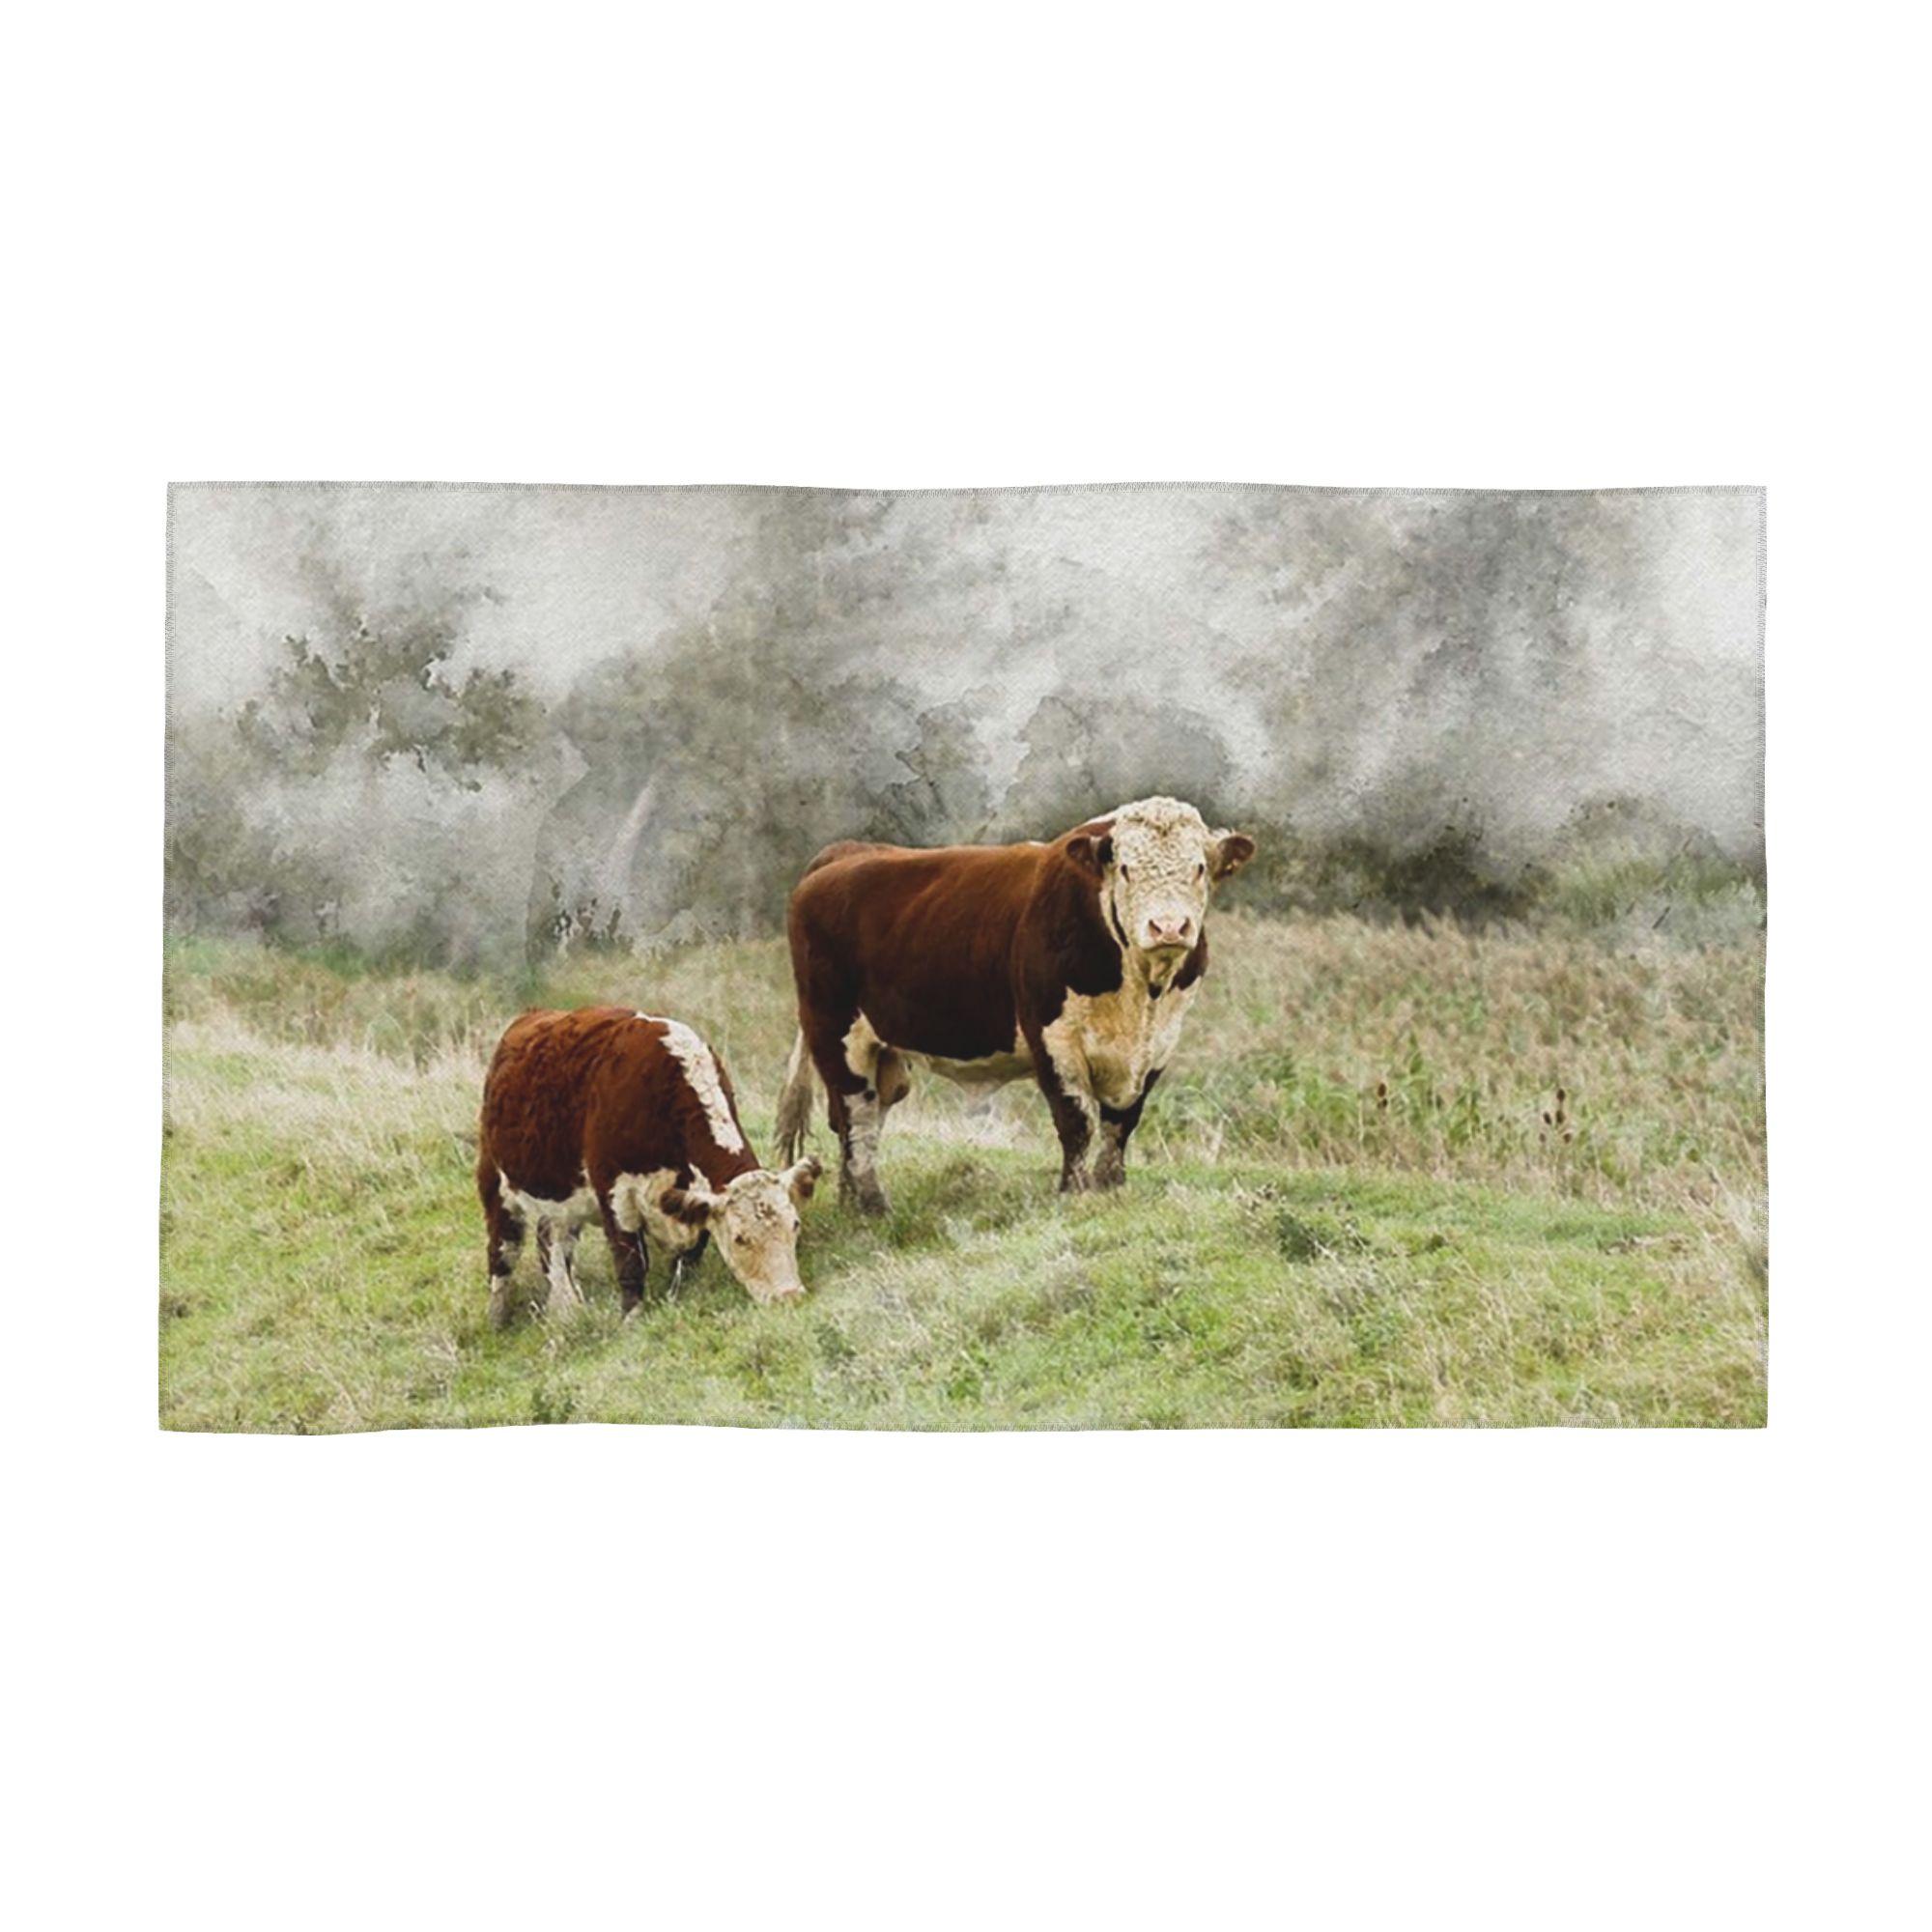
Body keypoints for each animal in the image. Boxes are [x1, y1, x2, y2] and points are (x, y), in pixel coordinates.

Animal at [478, 1006, 821, 1327]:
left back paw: (566, 1309)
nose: (788, 1297)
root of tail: (530, 1017)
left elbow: (690, 1254)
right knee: (502, 1251)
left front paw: (677, 1294)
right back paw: (497, 1320)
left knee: (552, 1239)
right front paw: (632, 1319)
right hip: (495, 1182)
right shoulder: (613, 1190)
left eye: (795, 1224)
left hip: (565, 1195)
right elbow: (630, 1261)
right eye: (740, 1238)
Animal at [774, 795, 1254, 1211]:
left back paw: (851, 1202)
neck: (1139, 997)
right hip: (834, 1030)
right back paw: (874, 1206)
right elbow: (1077, 1120)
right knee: (856, 1114)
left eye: (1199, 868)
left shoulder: (1158, 1044)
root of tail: (844, 852)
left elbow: (1121, 1122)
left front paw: (1111, 1188)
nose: (1169, 927)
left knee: (860, 1115)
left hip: (880, 1048)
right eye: (1126, 869)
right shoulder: (1053, 1038)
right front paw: (1074, 1193)